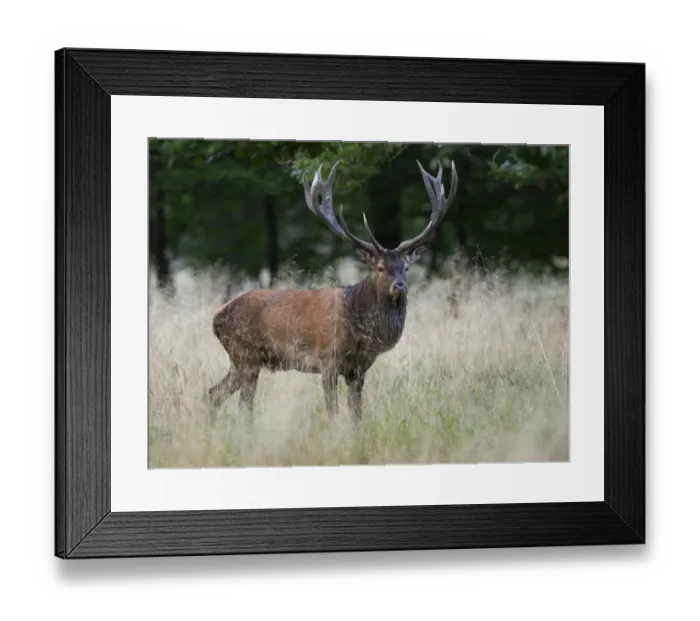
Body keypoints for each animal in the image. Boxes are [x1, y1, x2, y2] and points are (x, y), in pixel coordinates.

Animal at [208, 158, 458, 421]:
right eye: (380, 267)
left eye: (406, 267)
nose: (400, 285)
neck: (360, 328)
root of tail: (216, 320)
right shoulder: (328, 360)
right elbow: (332, 412)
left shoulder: (358, 369)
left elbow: (357, 414)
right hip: (245, 356)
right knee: (243, 404)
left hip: (240, 361)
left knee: (214, 393)